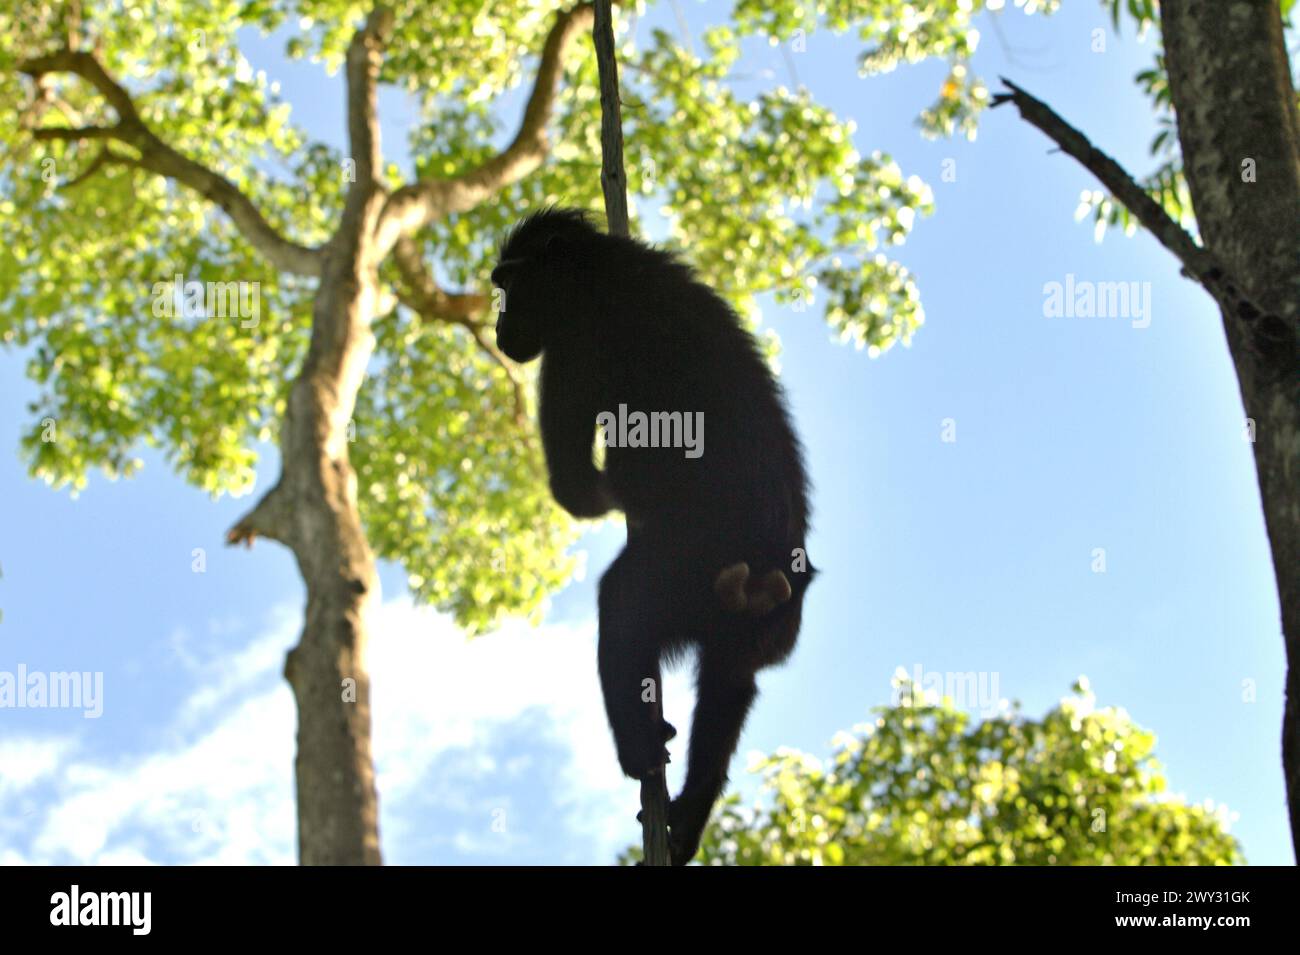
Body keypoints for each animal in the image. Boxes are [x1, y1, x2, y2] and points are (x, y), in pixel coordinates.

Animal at [491, 209, 816, 867]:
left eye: (509, 285)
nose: (497, 324)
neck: (601, 267)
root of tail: (766, 566)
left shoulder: (572, 347)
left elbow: (574, 485)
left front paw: (609, 496)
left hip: (678, 567)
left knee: (622, 609)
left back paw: (638, 748)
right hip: (763, 625)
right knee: (728, 685)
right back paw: (689, 813)